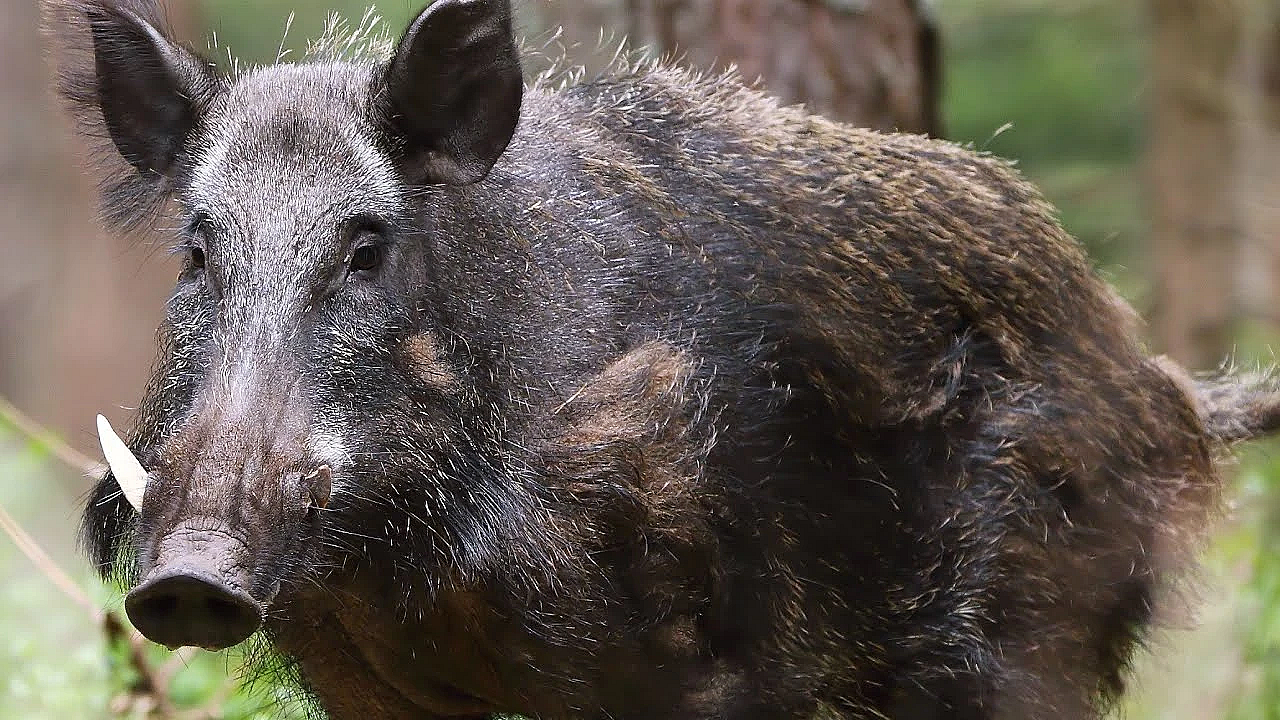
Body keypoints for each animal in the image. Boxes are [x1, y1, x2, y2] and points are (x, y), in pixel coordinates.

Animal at [49, 0, 1280, 718]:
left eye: (365, 248)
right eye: (197, 250)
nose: (191, 578)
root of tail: (1161, 384)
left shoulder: (694, 663)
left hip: (1029, 627)